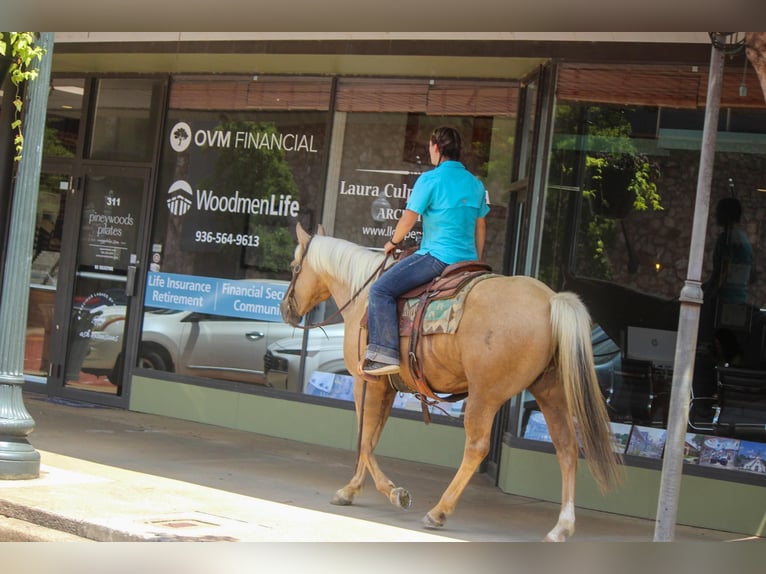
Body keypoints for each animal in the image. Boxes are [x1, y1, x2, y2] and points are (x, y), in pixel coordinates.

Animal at [282, 225, 624, 544]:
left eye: (294, 267)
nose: (286, 309)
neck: (364, 295)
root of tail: (551, 299)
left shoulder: (366, 383)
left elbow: (363, 439)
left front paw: (391, 492)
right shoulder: (388, 388)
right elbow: (373, 436)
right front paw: (353, 488)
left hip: (485, 395)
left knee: (477, 447)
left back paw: (439, 511)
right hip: (550, 392)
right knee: (566, 448)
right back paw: (561, 527)